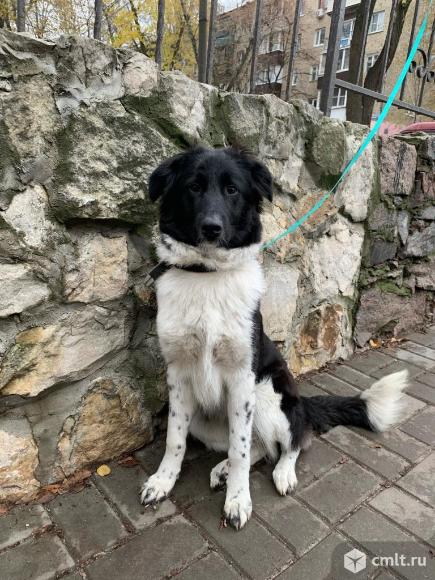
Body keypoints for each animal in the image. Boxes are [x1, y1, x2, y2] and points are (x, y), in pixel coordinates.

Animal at [140, 146, 408, 530]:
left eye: (232, 190)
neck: (209, 275)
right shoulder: (178, 375)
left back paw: (282, 473)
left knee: (291, 441)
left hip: (268, 395)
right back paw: (222, 469)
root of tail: (301, 401)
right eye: (193, 186)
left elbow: (240, 449)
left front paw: (238, 500)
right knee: (258, 447)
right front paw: (163, 481)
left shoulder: (242, 379)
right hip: (207, 420)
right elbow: (174, 440)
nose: (211, 228)